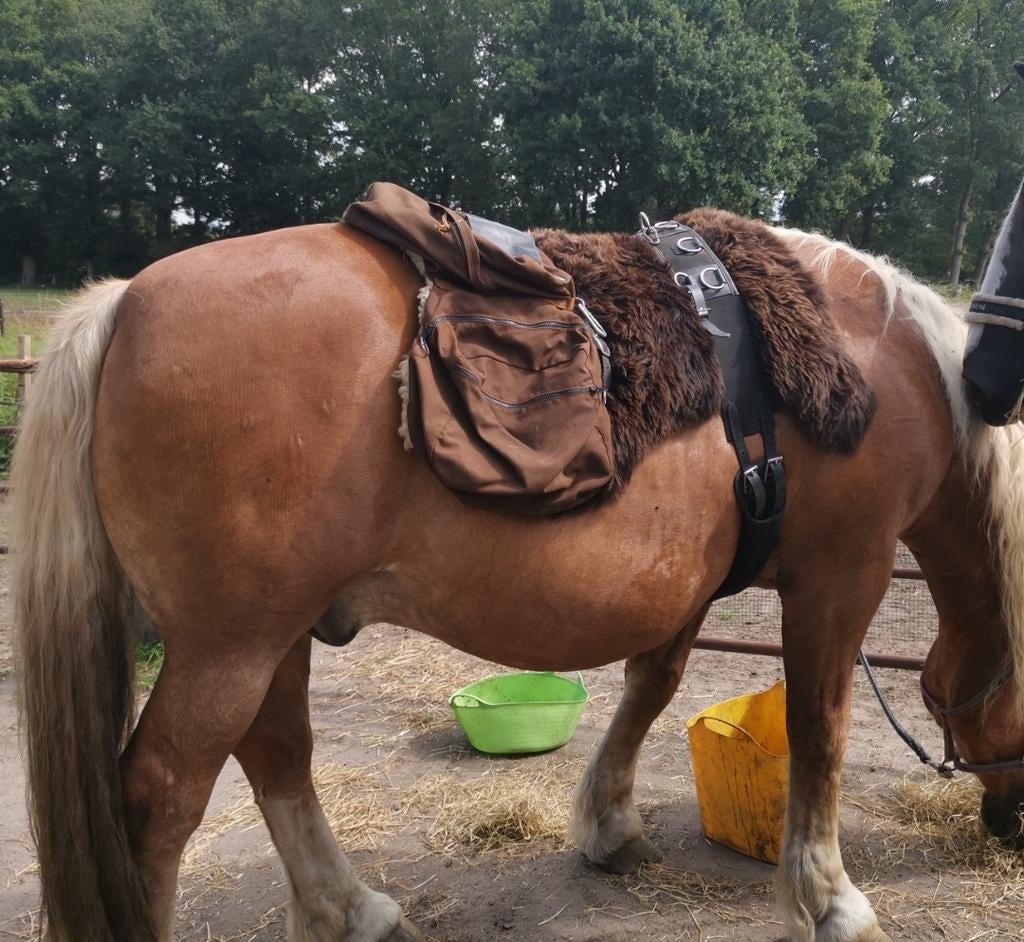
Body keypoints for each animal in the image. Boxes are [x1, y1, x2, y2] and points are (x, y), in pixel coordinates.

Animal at [12, 201, 1024, 942]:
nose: (1010, 828)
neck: (884, 360)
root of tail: (127, 300)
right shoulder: (842, 575)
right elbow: (821, 729)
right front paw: (828, 896)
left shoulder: (692, 582)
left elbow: (652, 684)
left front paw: (609, 824)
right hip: (230, 644)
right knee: (160, 800)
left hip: (271, 633)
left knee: (278, 757)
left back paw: (349, 909)